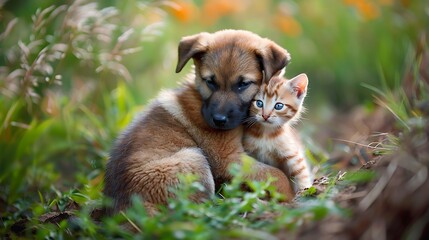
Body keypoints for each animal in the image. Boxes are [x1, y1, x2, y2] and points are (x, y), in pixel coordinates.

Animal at [103, 29, 294, 212]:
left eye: (243, 84)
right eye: (210, 81)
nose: (218, 120)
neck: (200, 99)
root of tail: (123, 208)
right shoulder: (228, 159)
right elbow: (277, 175)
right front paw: (291, 196)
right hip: (193, 157)